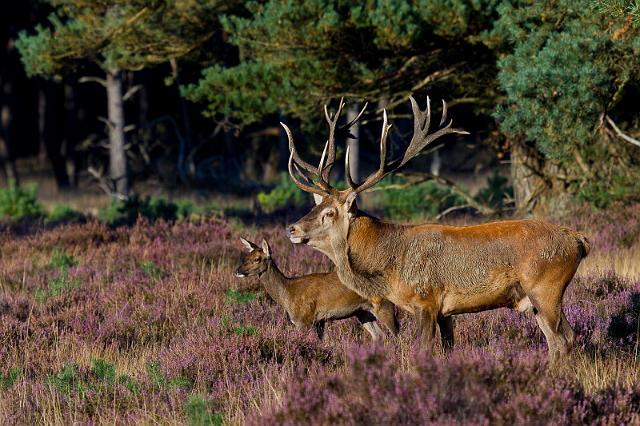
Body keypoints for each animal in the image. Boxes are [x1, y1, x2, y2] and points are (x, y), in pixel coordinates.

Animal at [232, 238, 398, 342]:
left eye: (257, 259)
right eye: (246, 256)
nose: (237, 271)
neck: (288, 293)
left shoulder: (304, 319)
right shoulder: (319, 321)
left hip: (385, 305)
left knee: (397, 333)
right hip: (362, 312)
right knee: (379, 335)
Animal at [282, 97, 592, 362]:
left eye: (329, 213)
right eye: (317, 206)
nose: (291, 229)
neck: (388, 267)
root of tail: (579, 240)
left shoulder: (427, 300)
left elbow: (422, 349)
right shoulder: (446, 311)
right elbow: (447, 348)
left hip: (546, 286)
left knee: (565, 338)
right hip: (535, 298)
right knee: (555, 341)